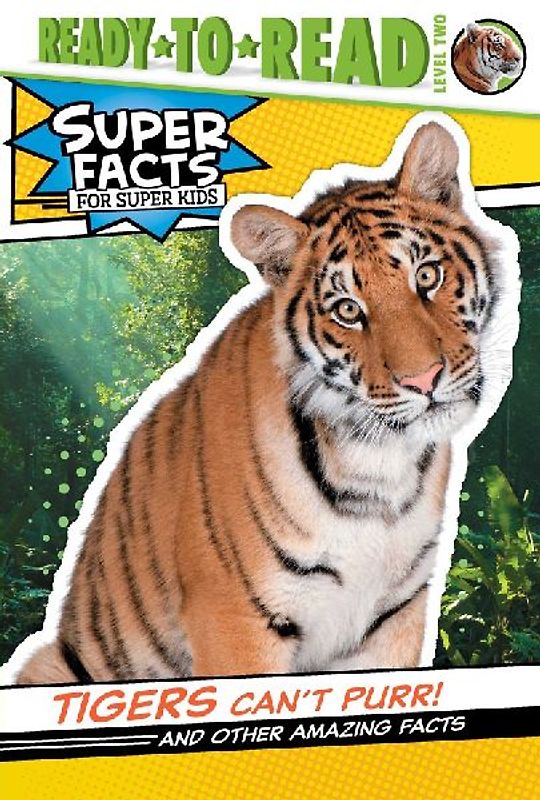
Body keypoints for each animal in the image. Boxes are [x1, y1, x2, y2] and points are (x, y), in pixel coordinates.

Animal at [7, 119, 517, 685]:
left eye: (427, 276)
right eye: (347, 310)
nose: (424, 379)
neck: (376, 468)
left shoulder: (394, 617)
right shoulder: (236, 618)